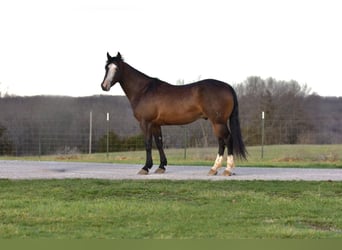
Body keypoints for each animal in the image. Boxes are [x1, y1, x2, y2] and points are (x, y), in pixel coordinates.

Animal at [100, 51, 247, 175]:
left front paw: (145, 167)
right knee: (221, 142)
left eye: (117, 68)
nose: (104, 86)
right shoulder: (156, 124)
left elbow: (148, 144)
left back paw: (227, 170)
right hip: (217, 123)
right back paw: (214, 169)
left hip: (218, 122)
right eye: (106, 67)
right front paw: (161, 167)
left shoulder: (145, 123)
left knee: (227, 139)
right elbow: (159, 143)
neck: (144, 90)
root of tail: (227, 86)